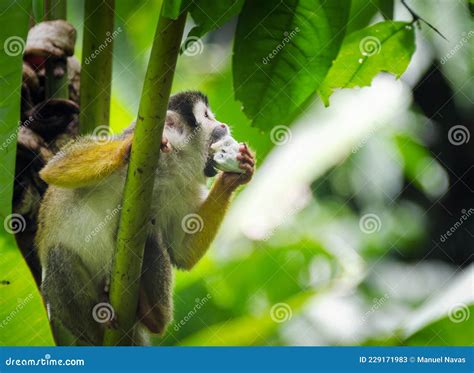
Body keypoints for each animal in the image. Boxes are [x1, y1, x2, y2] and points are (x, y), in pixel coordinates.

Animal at [35, 91, 256, 344]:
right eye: (209, 117)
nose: (223, 124)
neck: (166, 167)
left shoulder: (185, 186)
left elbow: (182, 252)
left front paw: (234, 177)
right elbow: (55, 168)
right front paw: (129, 147)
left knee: (150, 233)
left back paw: (153, 316)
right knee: (58, 255)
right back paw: (100, 322)